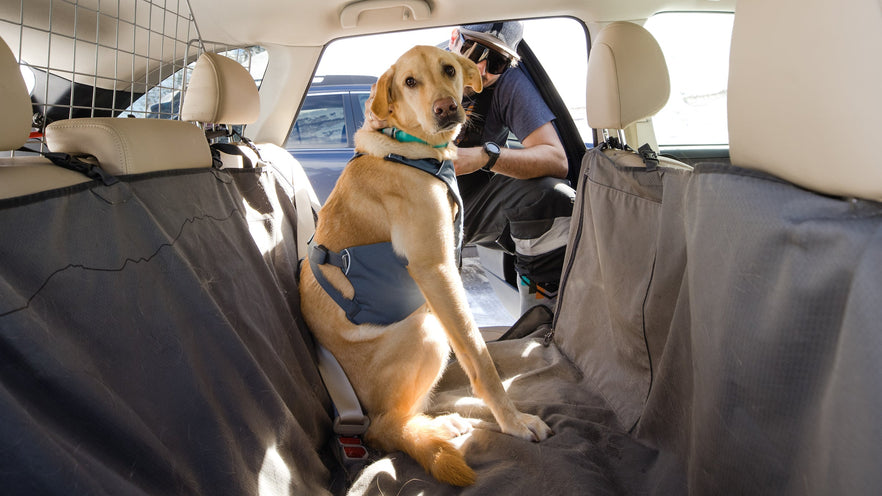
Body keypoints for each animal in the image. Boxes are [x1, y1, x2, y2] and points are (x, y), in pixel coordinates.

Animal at [302, 44, 552, 486]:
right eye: (409, 82)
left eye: (449, 69)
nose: (446, 108)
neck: (406, 148)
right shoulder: (436, 271)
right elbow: (480, 357)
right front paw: (514, 421)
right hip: (427, 328)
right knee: (388, 426)